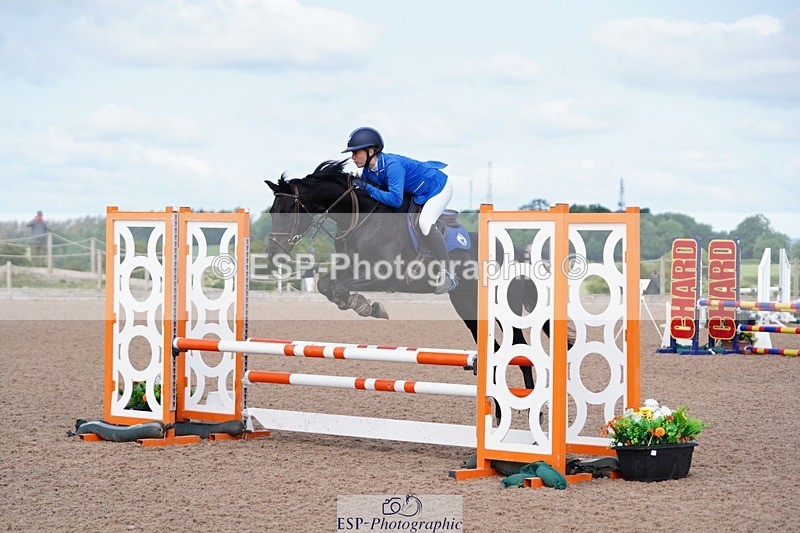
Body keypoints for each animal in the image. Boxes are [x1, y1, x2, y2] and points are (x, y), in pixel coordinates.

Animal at [264, 159, 546, 391]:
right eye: (271, 212)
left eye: (287, 211)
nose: (273, 253)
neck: (361, 218)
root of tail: (515, 253)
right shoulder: (351, 266)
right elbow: (327, 284)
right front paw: (358, 304)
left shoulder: (384, 276)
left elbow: (341, 287)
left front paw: (368, 306)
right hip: (467, 305)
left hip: (505, 309)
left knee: (520, 352)